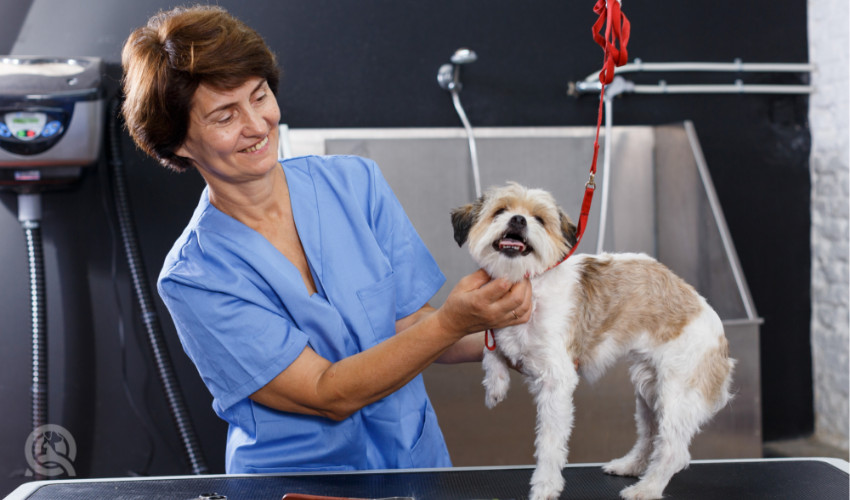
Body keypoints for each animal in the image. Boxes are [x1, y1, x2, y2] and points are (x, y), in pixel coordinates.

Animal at [450, 182, 736, 498]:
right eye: (500, 210)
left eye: (539, 219)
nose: (518, 220)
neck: (529, 281)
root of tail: (717, 333)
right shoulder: (499, 326)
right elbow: (491, 351)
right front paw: (496, 385)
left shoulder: (557, 380)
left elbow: (549, 445)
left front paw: (545, 485)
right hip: (648, 388)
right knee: (650, 436)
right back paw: (630, 466)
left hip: (677, 392)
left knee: (673, 451)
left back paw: (646, 489)